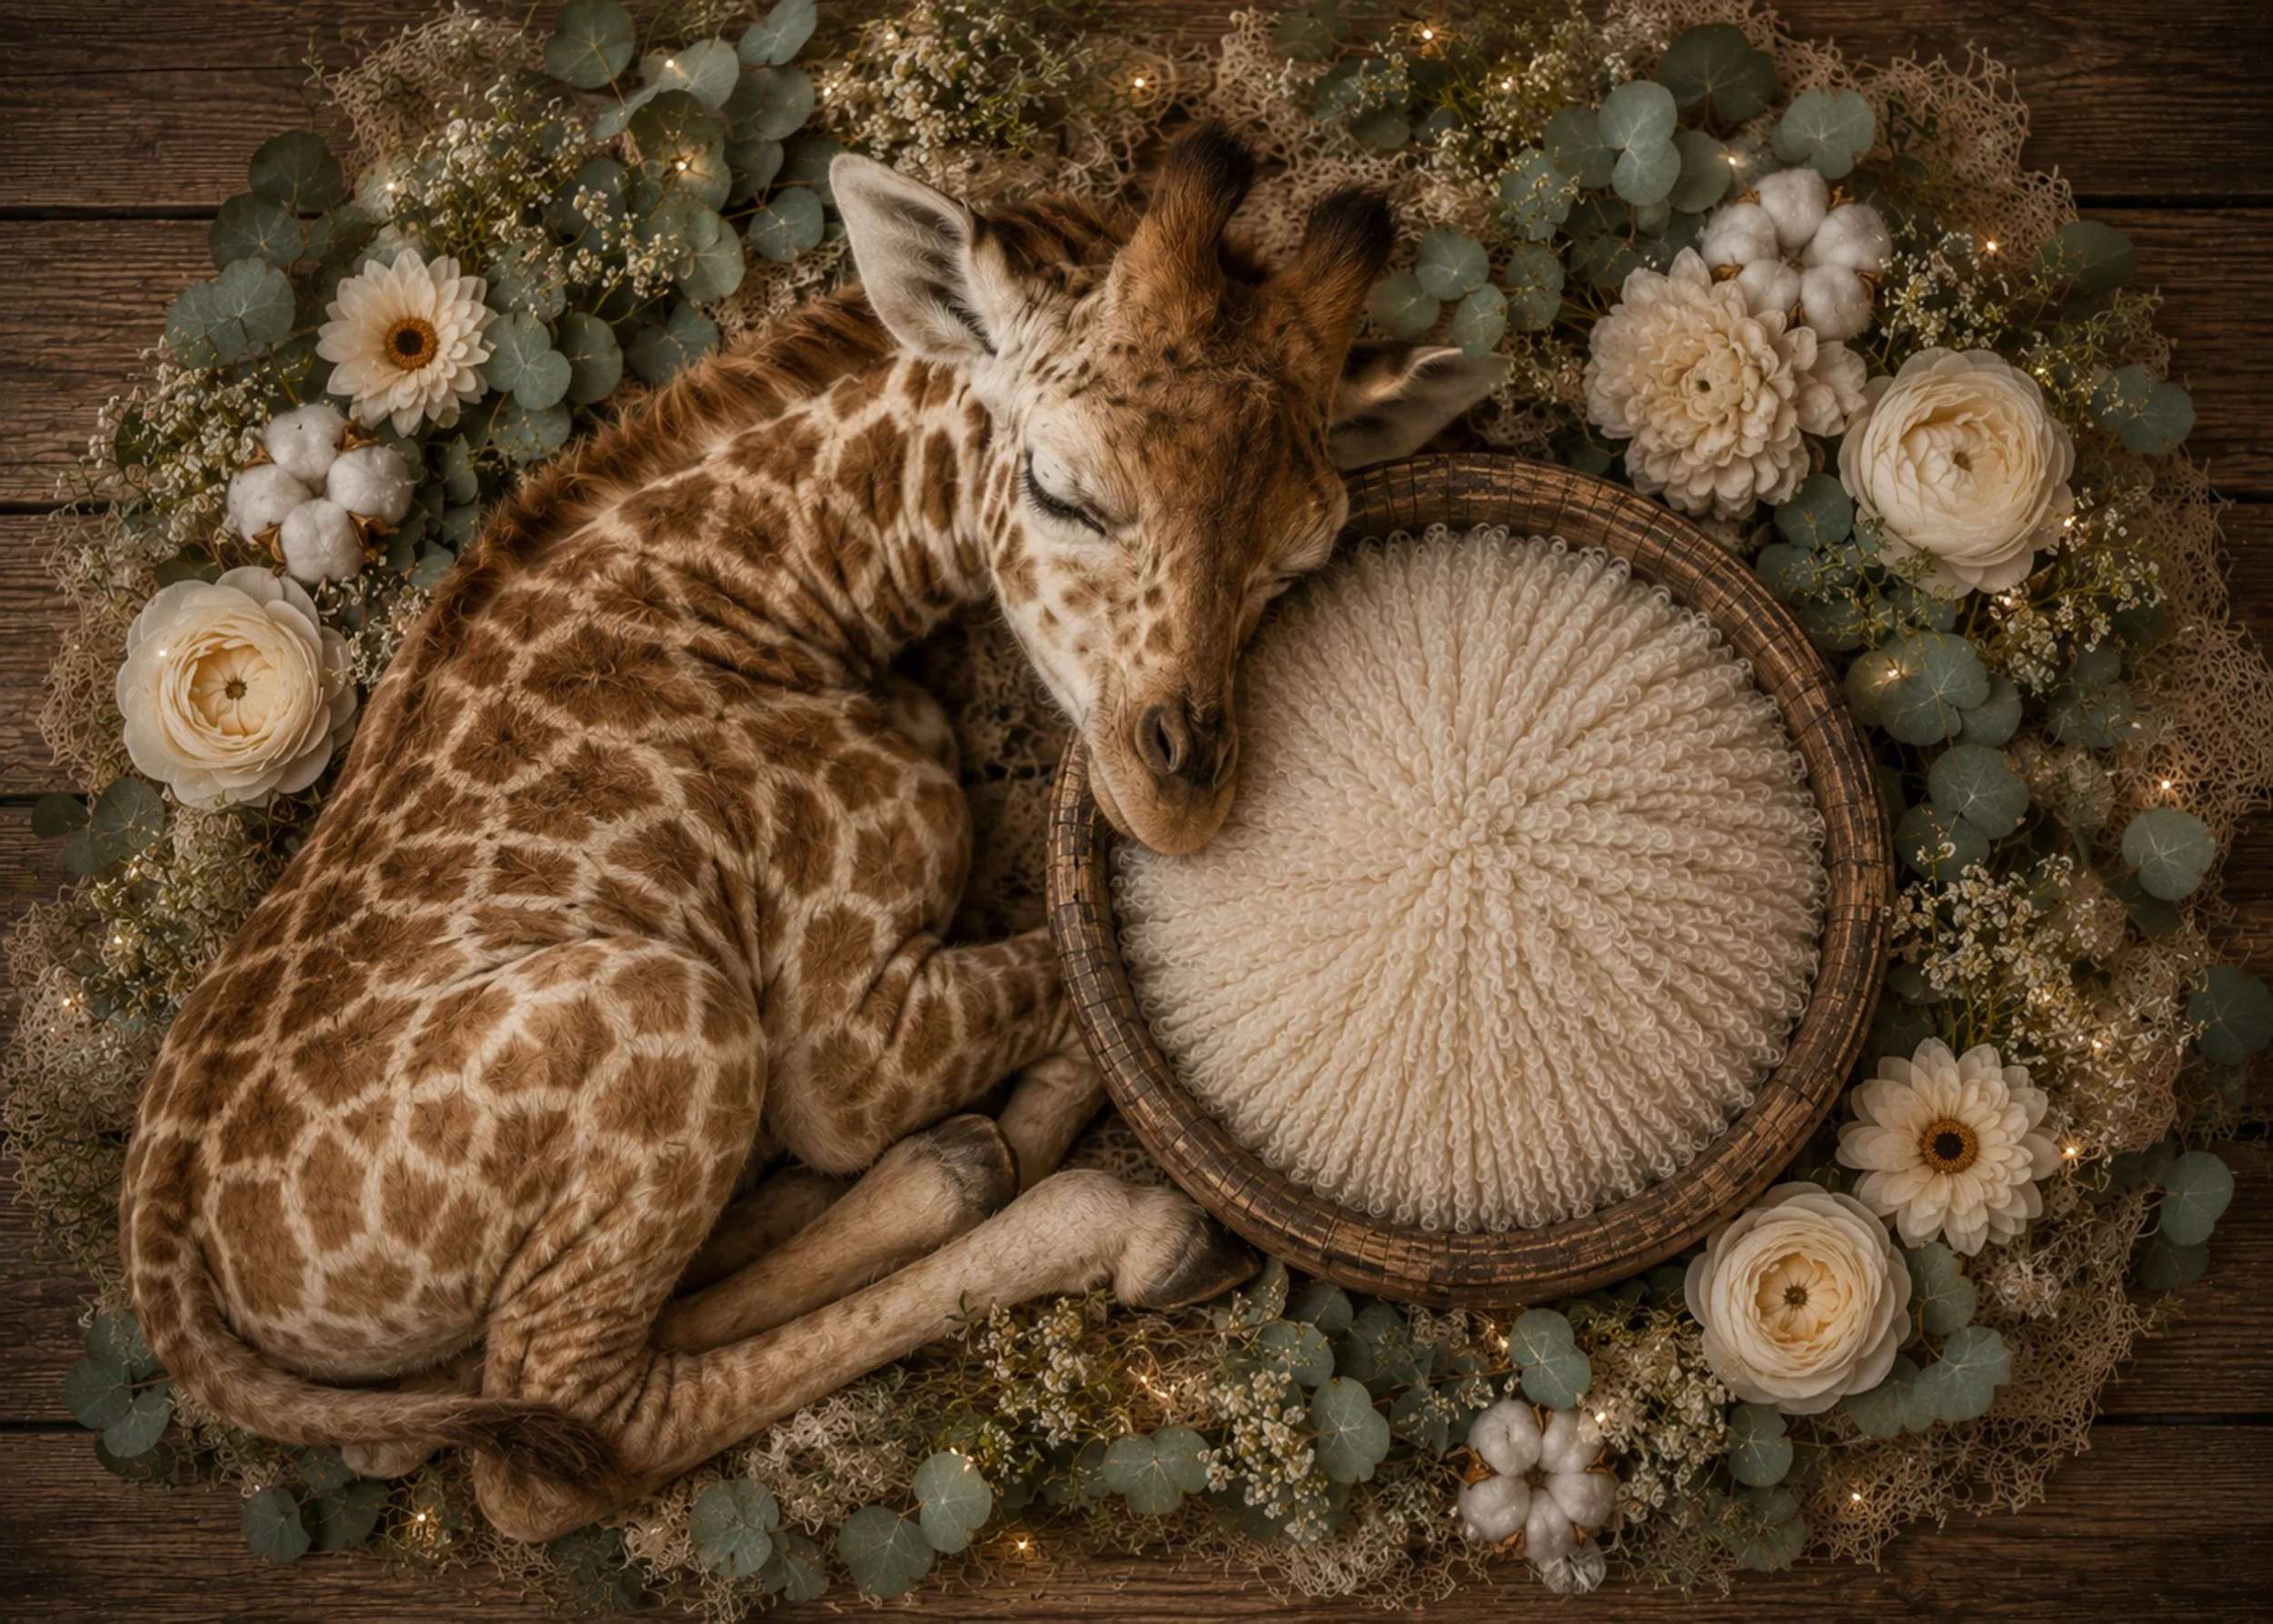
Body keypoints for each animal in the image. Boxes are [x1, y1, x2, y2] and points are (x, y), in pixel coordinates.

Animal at [117, 124, 1503, 1541]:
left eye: (1298, 563)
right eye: (1062, 491)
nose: (1184, 796)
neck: (780, 583)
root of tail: (178, 1283)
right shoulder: (846, 1049)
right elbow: (1070, 973)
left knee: (465, 1398)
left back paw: (952, 1163)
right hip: (676, 1008)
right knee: (557, 1434)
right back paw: (1105, 1216)